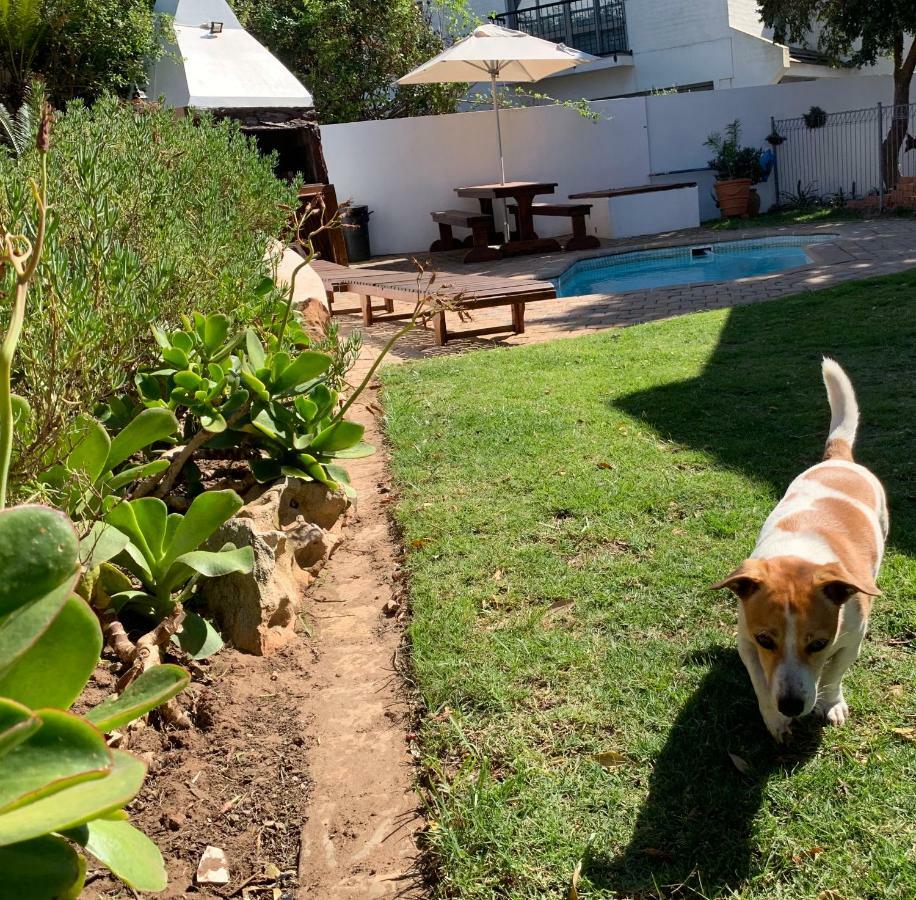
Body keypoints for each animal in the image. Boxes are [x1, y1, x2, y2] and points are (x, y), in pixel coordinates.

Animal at [716, 360, 888, 744]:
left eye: (819, 643)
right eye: (765, 639)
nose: (792, 705)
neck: (799, 554)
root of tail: (839, 458)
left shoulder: (851, 639)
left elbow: (834, 674)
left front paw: (831, 703)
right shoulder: (747, 642)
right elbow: (761, 684)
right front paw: (775, 719)